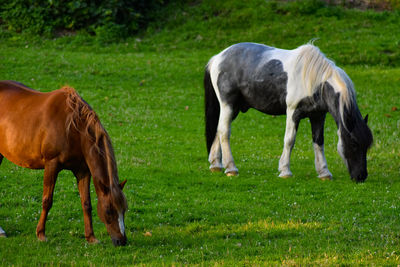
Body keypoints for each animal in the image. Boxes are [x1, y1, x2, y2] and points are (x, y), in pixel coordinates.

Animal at [0, 81, 127, 247]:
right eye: (108, 211)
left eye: (124, 209)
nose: (122, 241)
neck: (73, 128)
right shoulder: (51, 165)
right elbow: (47, 200)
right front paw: (41, 234)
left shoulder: (82, 171)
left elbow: (86, 203)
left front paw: (91, 237)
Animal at [205, 43, 374, 183]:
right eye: (354, 144)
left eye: (367, 146)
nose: (361, 176)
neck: (315, 80)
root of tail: (217, 58)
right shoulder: (293, 112)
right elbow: (289, 140)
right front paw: (285, 171)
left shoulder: (318, 116)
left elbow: (319, 142)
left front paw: (324, 173)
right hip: (228, 105)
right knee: (224, 132)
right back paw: (231, 168)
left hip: (235, 109)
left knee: (218, 131)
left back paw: (216, 165)